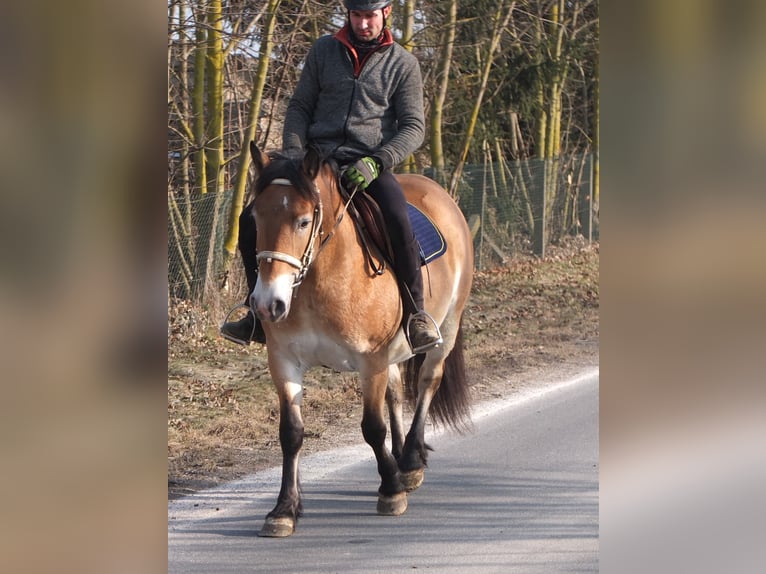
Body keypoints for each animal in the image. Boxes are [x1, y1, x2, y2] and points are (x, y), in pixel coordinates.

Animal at [246, 142, 474, 536]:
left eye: (303, 221)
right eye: (256, 217)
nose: (266, 304)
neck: (318, 281)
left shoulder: (371, 359)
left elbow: (372, 427)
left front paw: (391, 490)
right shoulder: (284, 359)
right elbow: (290, 433)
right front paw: (283, 510)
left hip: (447, 326)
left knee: (428, 381)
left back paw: (409, 463)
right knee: (396, 393)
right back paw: (399, 458)